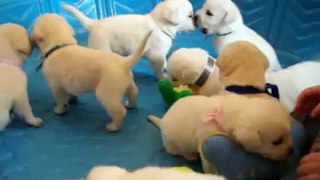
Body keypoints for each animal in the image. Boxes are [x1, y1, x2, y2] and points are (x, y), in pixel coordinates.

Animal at [63, 0, 195, 79]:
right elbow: (159, 68)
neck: (159, 24)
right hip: (102, 47)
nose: (197, 22)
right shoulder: (157, 55)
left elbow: (164, 62)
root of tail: (95, 24)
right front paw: (163, 77)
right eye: (190, 16)